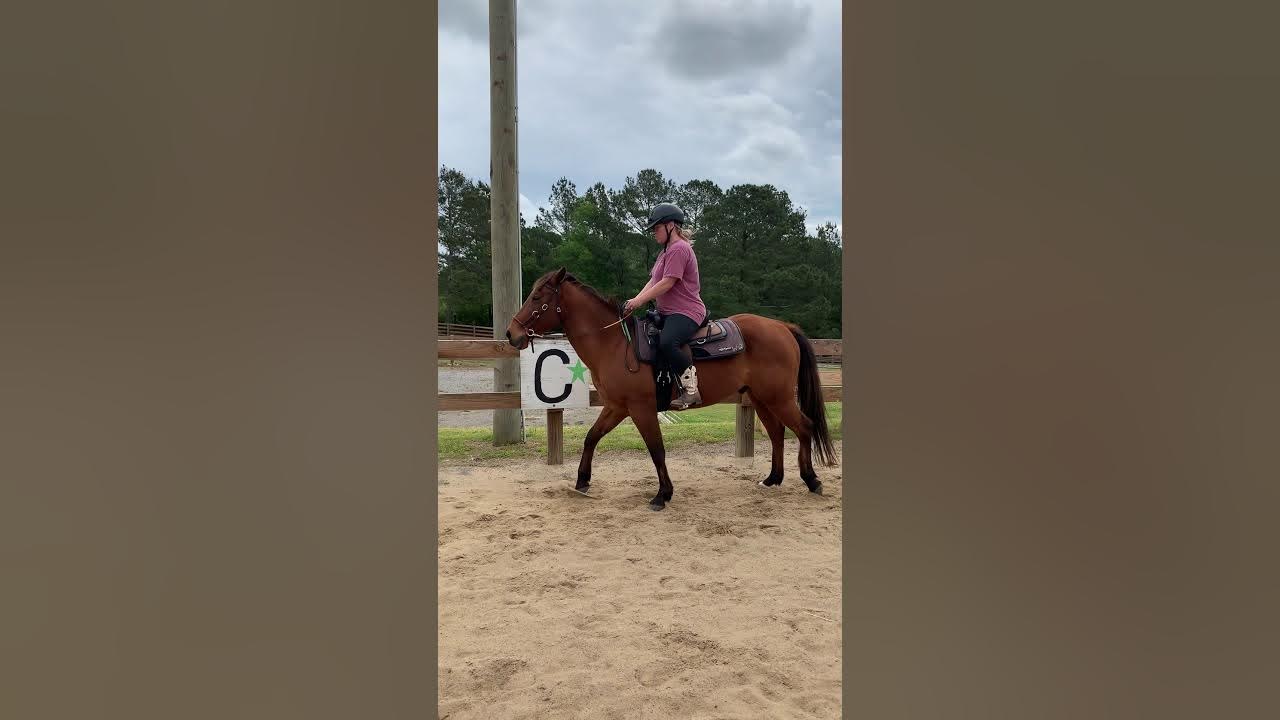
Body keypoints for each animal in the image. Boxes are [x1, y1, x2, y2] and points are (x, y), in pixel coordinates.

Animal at [505, 267, 837, 511]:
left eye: (537, 296)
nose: (511, 333)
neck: (616, 345)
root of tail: (783, 327)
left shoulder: (641, 409)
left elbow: (656, 450)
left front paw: (662, 494)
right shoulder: (617, 407)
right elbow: (591, 437)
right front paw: (582, 481)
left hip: (779, 398)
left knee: (804, 428)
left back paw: (811, 480)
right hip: (761, 398)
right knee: (777, 433)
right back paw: (772, 479)